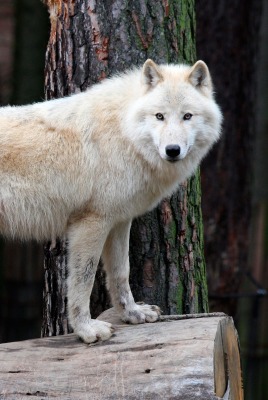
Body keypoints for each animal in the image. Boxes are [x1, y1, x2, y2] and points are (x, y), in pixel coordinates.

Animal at [0, 59, 222, 344]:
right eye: (159, 116)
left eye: (187, 116)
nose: (172, 151)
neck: (124, 132)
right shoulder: (91, 222)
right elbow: (83, 280)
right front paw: (86, 330)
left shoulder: (119, 221)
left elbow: (120, 272)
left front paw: (133, 313)